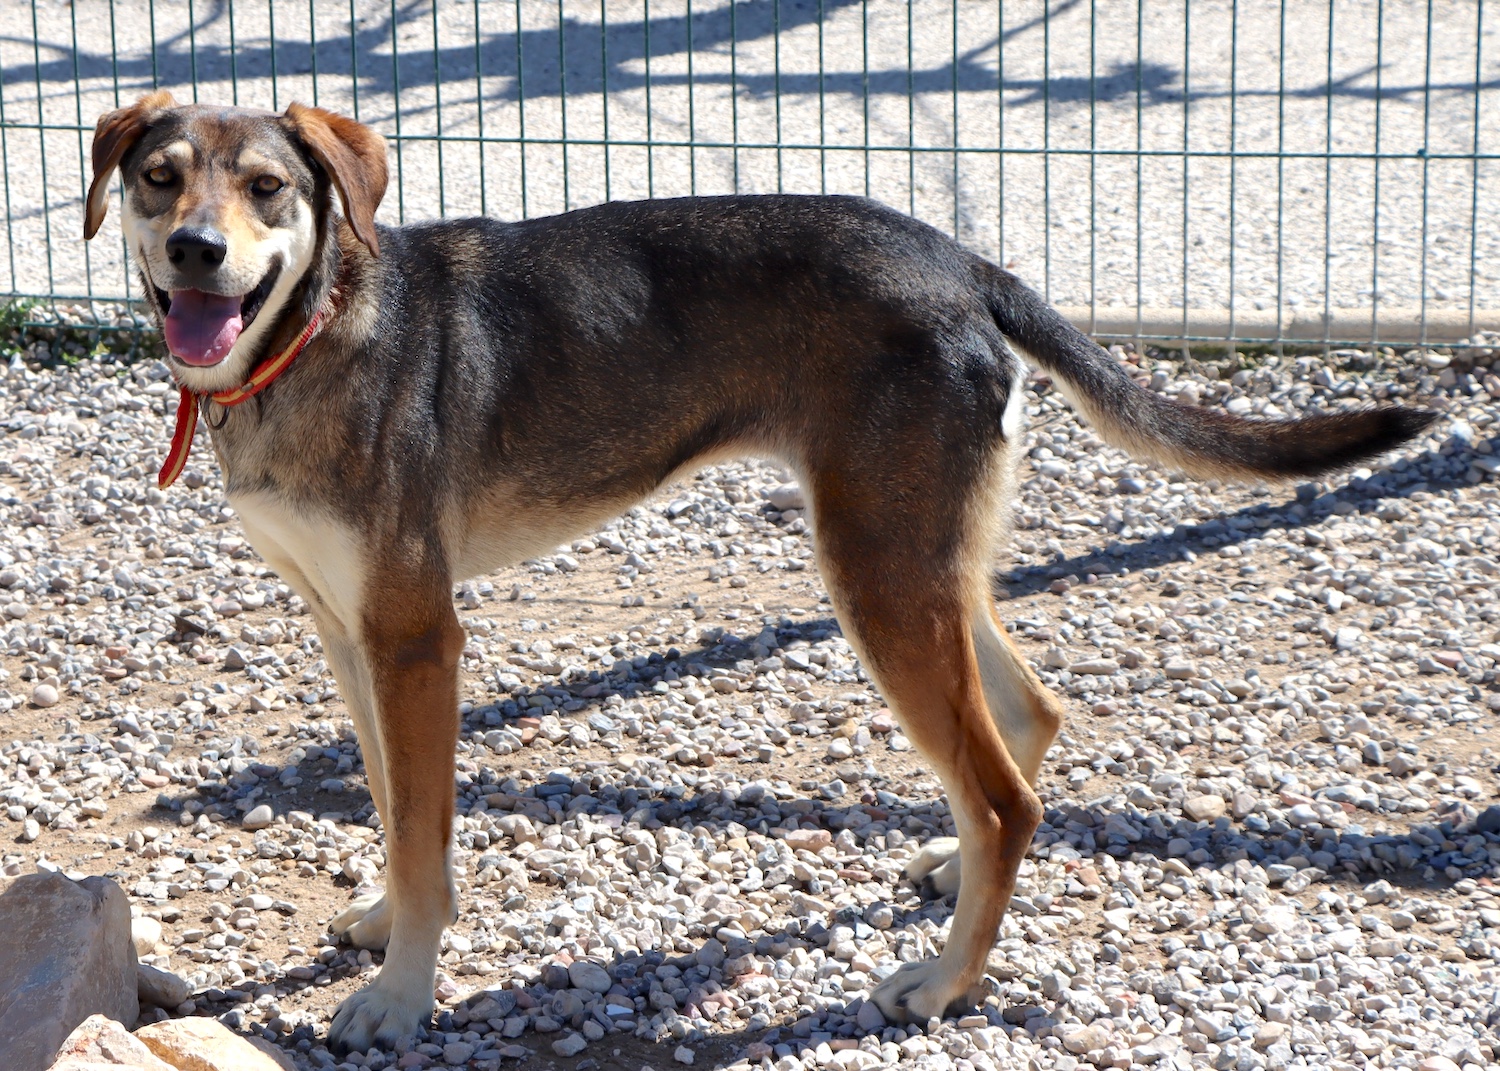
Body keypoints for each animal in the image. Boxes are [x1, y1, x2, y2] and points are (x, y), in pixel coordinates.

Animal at [83, 92, 1436, 1052]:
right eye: (160, 178)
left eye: (268, 189)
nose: (197, 252)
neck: (310, 333)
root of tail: (961, 262)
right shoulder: (347, 627)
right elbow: (387, 799)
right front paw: (383, 924)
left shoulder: (419, 633)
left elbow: (421, 824)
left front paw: (402, 994)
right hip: (918, 561)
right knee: (1027, 720)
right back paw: (953, 875)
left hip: (874, 574)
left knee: (1005, 793)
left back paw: (942, 982)